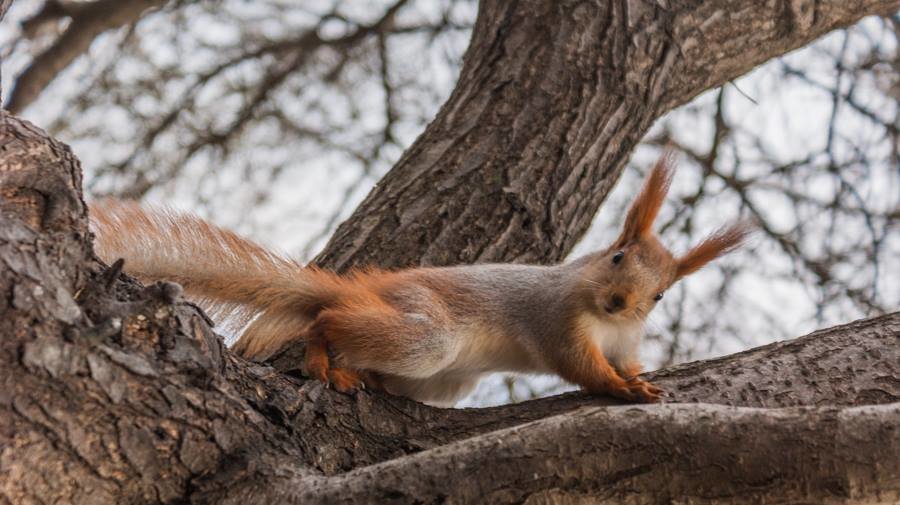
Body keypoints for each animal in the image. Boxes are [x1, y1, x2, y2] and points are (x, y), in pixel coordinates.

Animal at [89, 154, 752, 406]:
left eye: (659, 295)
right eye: (615, 257)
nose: (619, 301)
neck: (600, 315)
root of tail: (364, 289)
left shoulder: (626, 337)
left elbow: (627, 359)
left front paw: (638, 377)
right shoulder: (557, 318)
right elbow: (579, 365)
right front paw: (622, 390)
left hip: (441, 380)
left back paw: (364, 376)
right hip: (425, 331)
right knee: (328, 319)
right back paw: (325, 360)